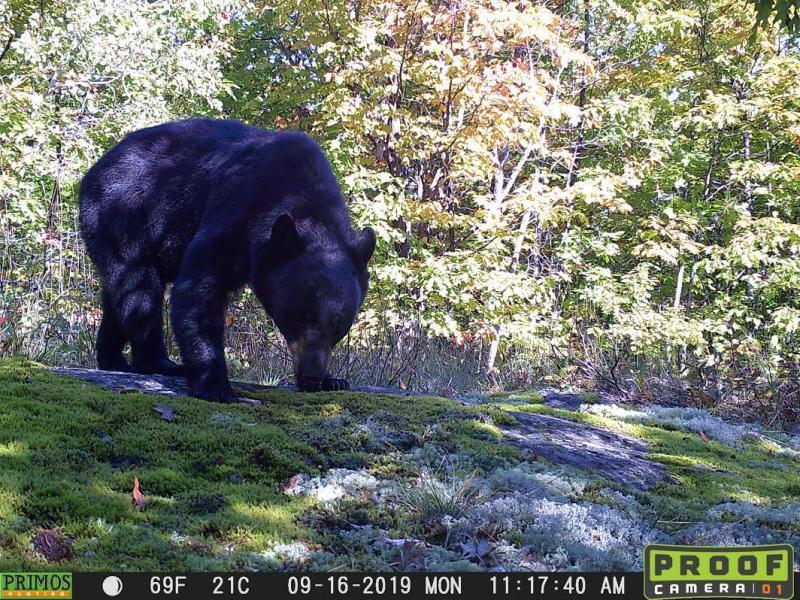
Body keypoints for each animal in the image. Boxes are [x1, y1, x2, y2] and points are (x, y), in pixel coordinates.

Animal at [78, 118, 376, 400]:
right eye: (301, 316)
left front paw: (333, 380)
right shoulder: (237, 208)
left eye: (339, 325)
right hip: (121, 216)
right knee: (138, 288)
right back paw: (158, 363)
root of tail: (94, 170)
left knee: (117, 296)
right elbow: (199, 287)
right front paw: (215, 385)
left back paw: (113, 359)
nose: (311, 377)